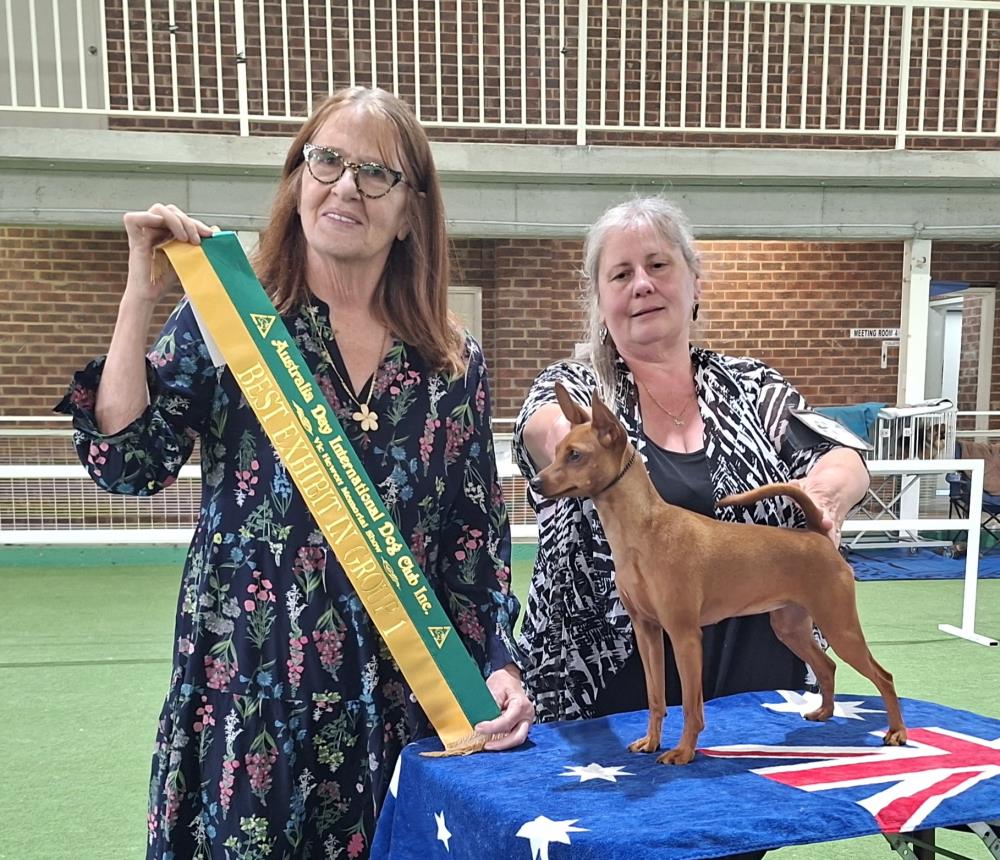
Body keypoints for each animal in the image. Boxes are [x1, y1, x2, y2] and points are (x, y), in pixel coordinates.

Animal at [529, 383, 907, 765]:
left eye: (575, 455)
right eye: (557, 451)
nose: (535, 482)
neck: (644, 531)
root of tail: (816, 534)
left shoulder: (684, 635)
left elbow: (690, 706)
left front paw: (683, 752)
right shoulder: (647, 631)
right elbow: (656, 697)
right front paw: (651, 741)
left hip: (839, 627)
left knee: (884, 676)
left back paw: (897, 732)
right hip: (790, 627)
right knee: (827, 667)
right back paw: (825, 713)